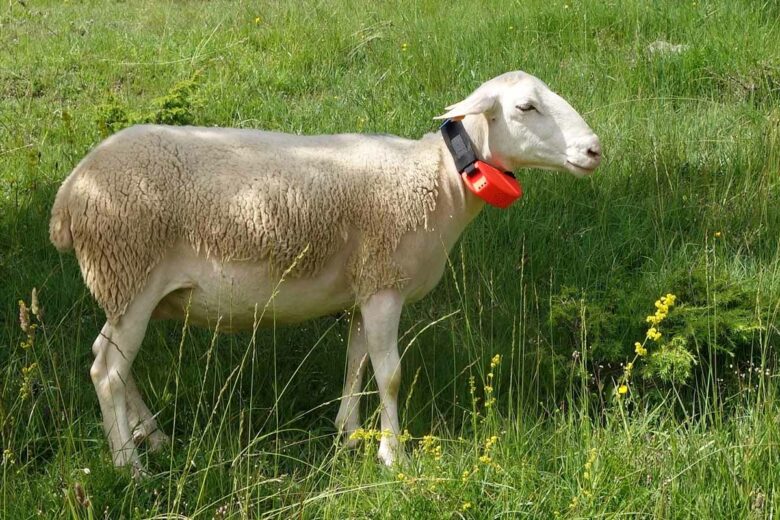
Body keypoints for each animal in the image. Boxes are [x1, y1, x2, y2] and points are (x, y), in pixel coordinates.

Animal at [50, 71, 604, 474]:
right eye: (526, 107)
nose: (595, 149)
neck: (440, 180)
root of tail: (70, 193)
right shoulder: (384, 283)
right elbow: (390, 373)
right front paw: (394, 456)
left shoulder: (365, 286)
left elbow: (356, 362)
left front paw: (350, 434)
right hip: (130, 272)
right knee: (106, 372)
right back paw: (130, 467)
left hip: (127, 288)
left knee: (109, 361)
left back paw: (153, 437)